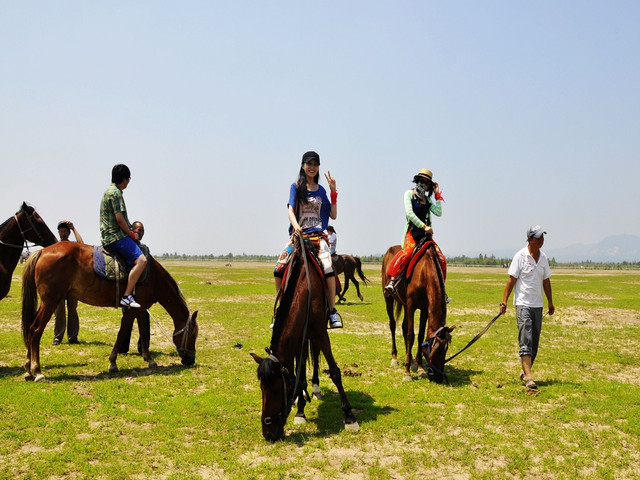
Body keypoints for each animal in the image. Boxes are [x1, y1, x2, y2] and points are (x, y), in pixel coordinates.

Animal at [21, 244, 198, 382]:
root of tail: (42, 251)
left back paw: (28, 369)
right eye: (193, 335)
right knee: (35, 330)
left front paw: (149, 359)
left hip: (47, 302)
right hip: (51, 301)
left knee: (29, 328)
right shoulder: (132, 309)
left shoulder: (141, 309)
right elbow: (122, 332)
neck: (153, 277)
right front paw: (113, 362)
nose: (191, 360)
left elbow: (143, 333)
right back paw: (37, 371)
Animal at [380, 242, 456, 384]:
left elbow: (420, 336)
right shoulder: (411, 306)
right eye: (436, 351)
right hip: (389, 298)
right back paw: (394, 358)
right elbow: (411, 335)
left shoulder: (424, 308)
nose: (439, 378)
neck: (424, 272)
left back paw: (412, 361)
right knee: (393, 325)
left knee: (404, 327)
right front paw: (407, 373)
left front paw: (420, 368)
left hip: (404, 303)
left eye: (446, 350)